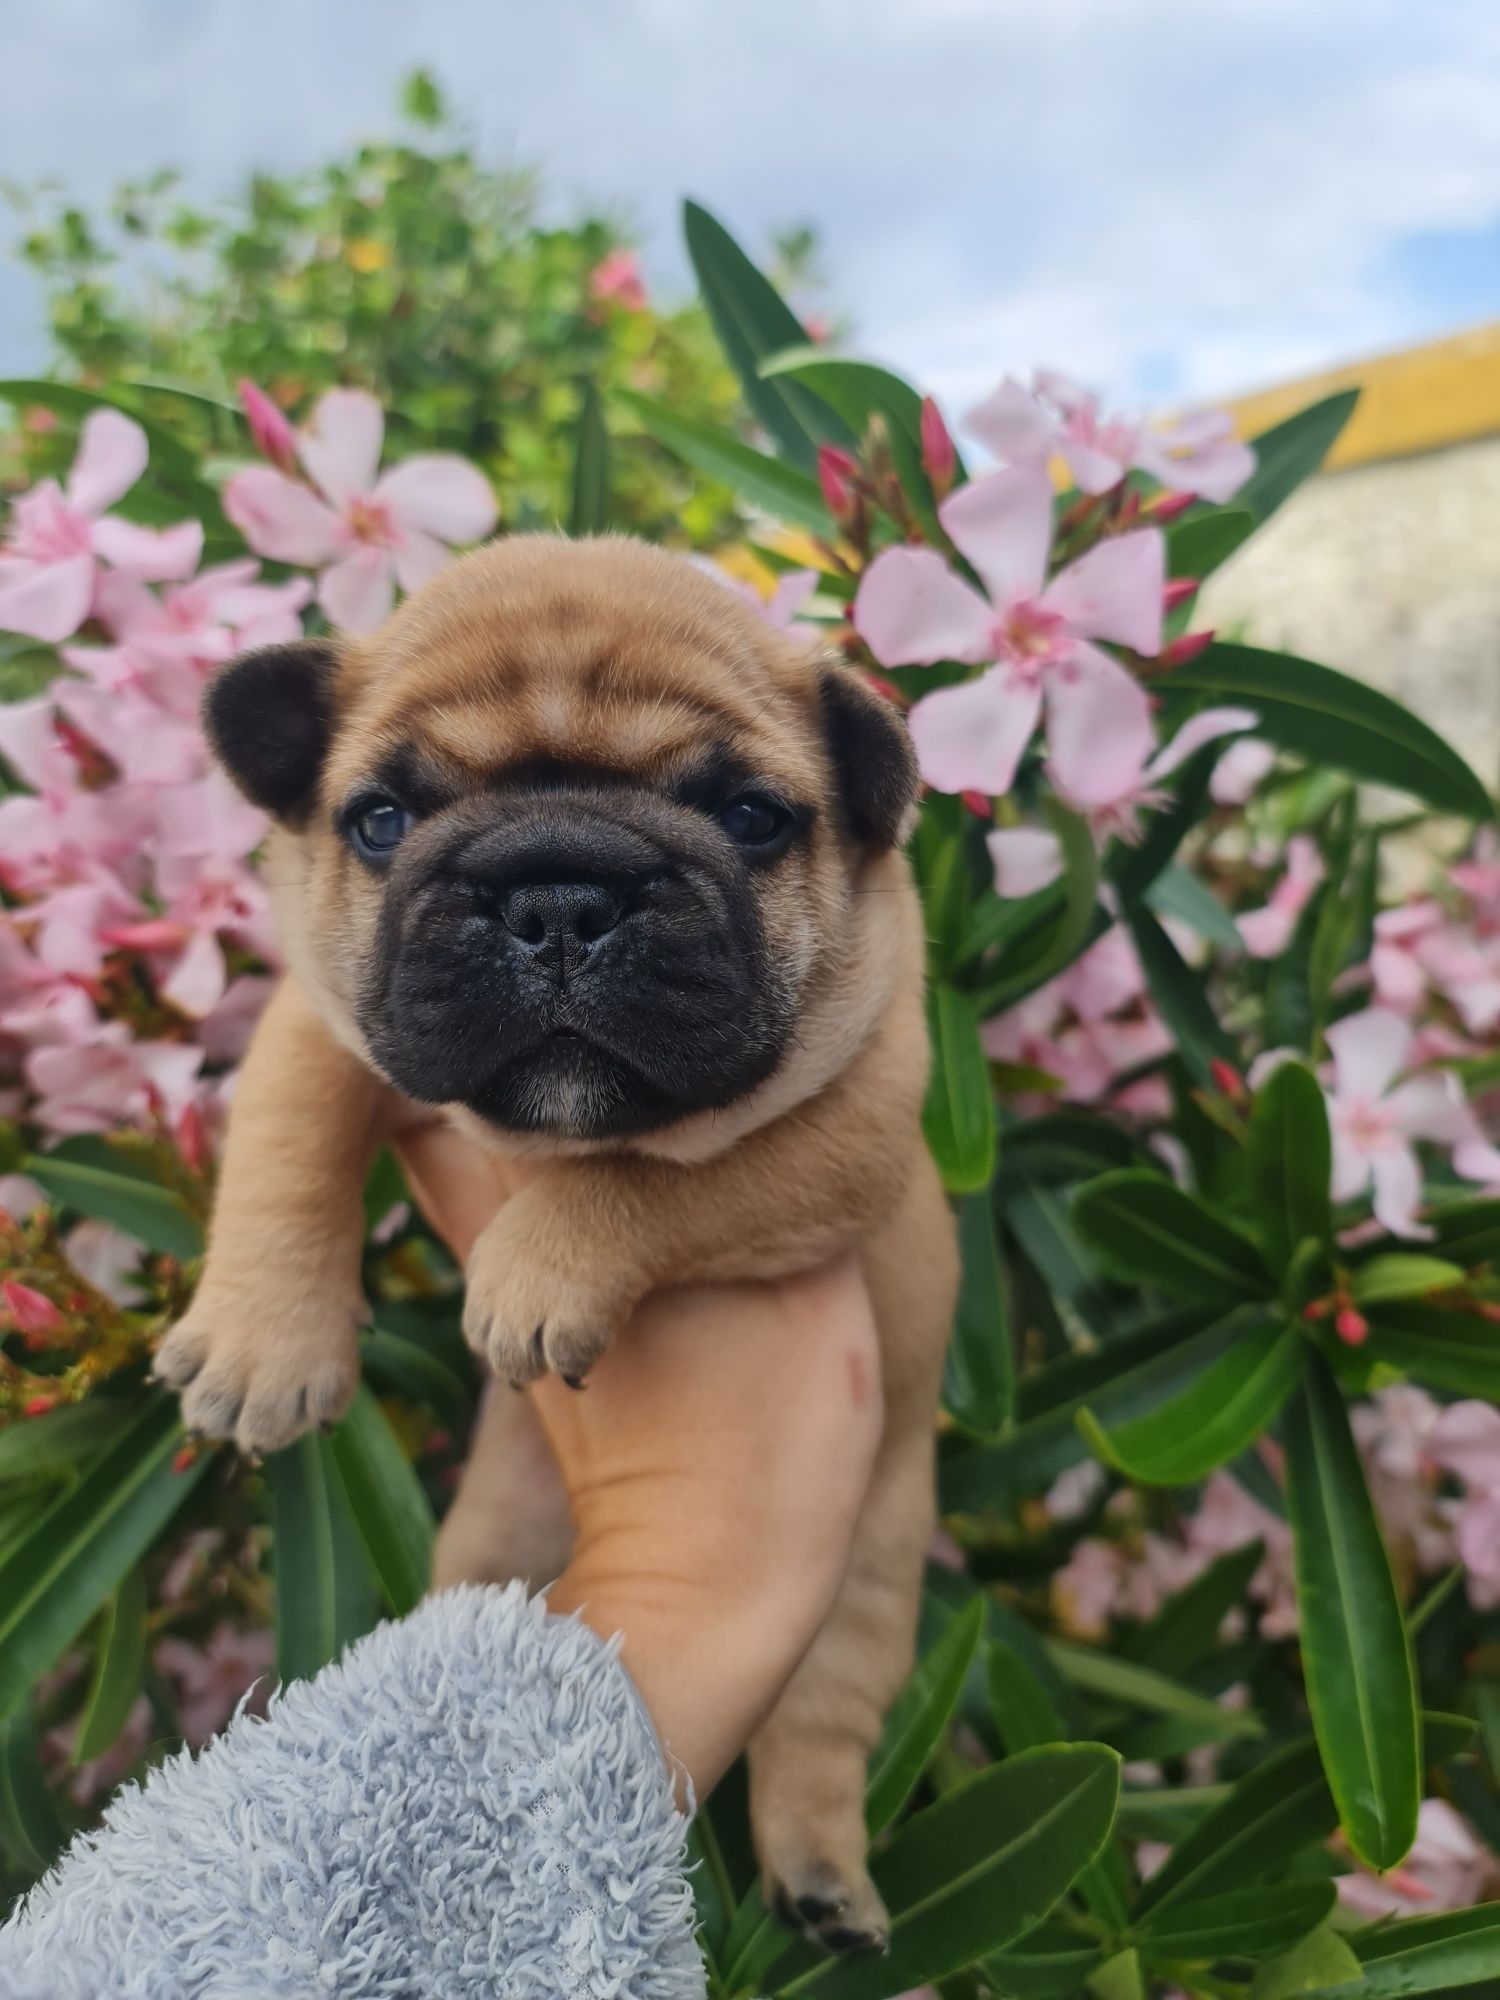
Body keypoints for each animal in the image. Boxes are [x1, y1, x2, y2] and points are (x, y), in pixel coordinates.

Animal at [156, 532, 964, 1952]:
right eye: (381, 820)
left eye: (750, 817)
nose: (557, 894)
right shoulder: (323, 1019)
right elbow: (289, 1141)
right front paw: (262, 1342)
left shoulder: (857, 1127)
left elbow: (659, 1177)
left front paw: (537, 1267)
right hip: (494, 1528)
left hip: (870, 1562)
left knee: (820, 1727)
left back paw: (822, 1886)